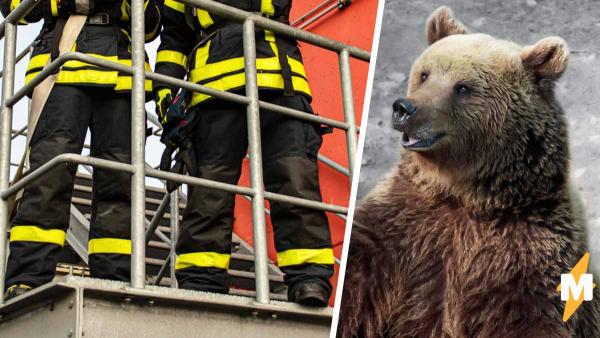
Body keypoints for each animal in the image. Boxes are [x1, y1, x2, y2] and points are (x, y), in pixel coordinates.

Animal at [338, 5, 600, 338]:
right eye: (425, 74)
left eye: (462, 87)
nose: (404, 109)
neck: (463, 194)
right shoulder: (398, 228)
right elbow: (357, 272)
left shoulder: (529, 254)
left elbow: (531, 319)